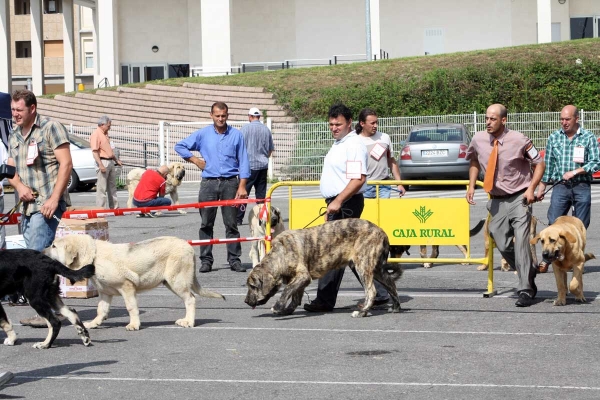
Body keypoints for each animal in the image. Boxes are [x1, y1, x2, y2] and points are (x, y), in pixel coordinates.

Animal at [44, 234, 223, 332]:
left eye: (54, 246)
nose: (42, 252)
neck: (94, 256)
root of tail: (188, 246)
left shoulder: (127, 287)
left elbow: (131, 307)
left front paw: (134, 324)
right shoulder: (105, 293)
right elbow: (101, 309)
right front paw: (94, 323)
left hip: (176, 281)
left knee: (190, 299)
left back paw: (189, 322)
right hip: (170, 282)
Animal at [244, 217, 404, 318]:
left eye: (252, 286)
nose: (246, 302)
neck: (280, 254)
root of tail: (382, 232)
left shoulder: (303, 276)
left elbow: (287, 290)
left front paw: (278, 307)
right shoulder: (299, 279)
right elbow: (295, 296)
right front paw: (287, 310)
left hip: (363, 266)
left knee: (372, 291)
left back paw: (362, 312)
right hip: (376, 269)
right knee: (391, 284)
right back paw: (395, 307)